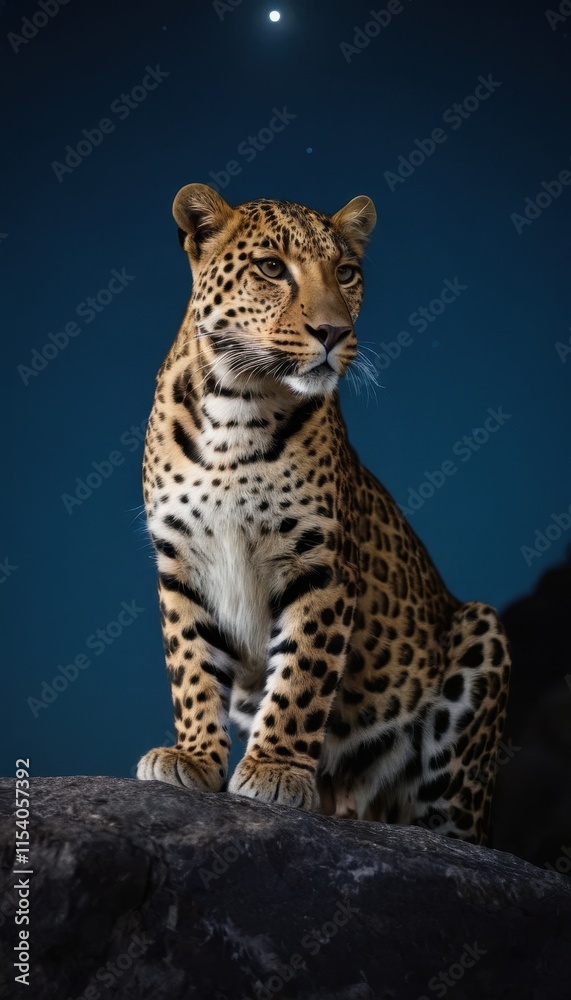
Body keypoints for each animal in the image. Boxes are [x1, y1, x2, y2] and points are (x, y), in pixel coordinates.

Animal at [136, 182, 511, 845]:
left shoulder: (321, 563)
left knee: (455, 827)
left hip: (480, 641)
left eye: (346, 273)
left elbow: (303, 674)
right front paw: (194, 756)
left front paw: (275, 768)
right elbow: (191, 666)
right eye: (270, 269)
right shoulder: (179, 562)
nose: (333, 331)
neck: (237, 405)